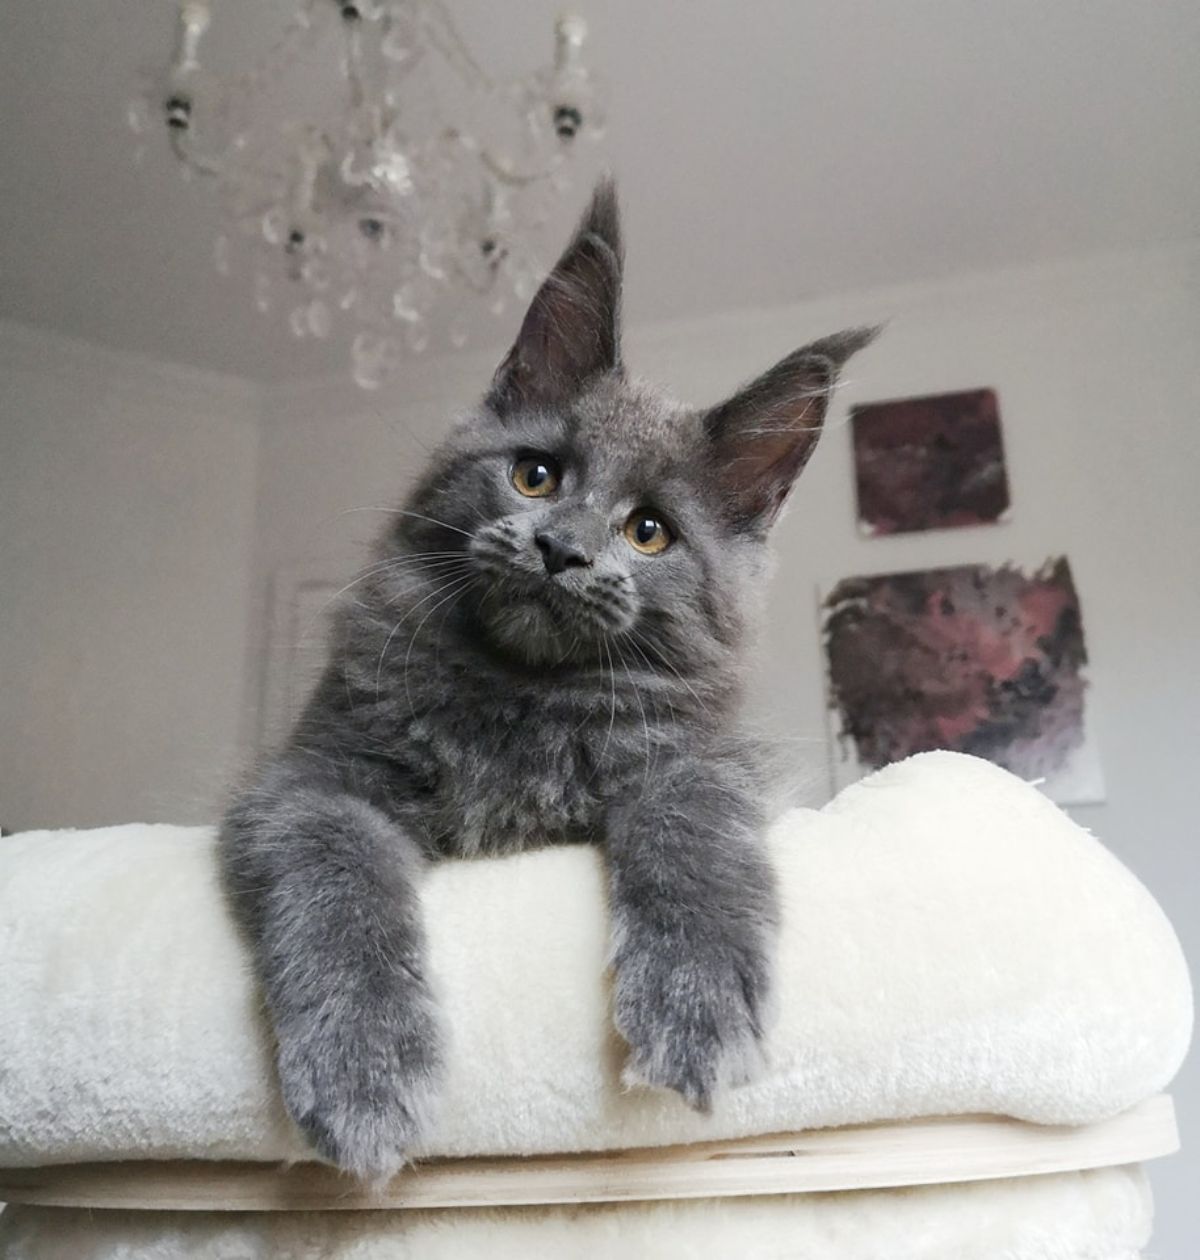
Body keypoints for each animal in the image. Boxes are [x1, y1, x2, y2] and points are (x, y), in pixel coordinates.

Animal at [218, 180, 872, 1179]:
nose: (561, 548)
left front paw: (696, 1005)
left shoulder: (711, 759)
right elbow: (337, 885)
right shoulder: (306, 783)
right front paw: (362, 1076)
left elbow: (691, 819)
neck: (521, 699)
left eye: (649, 532)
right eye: (535, 475)